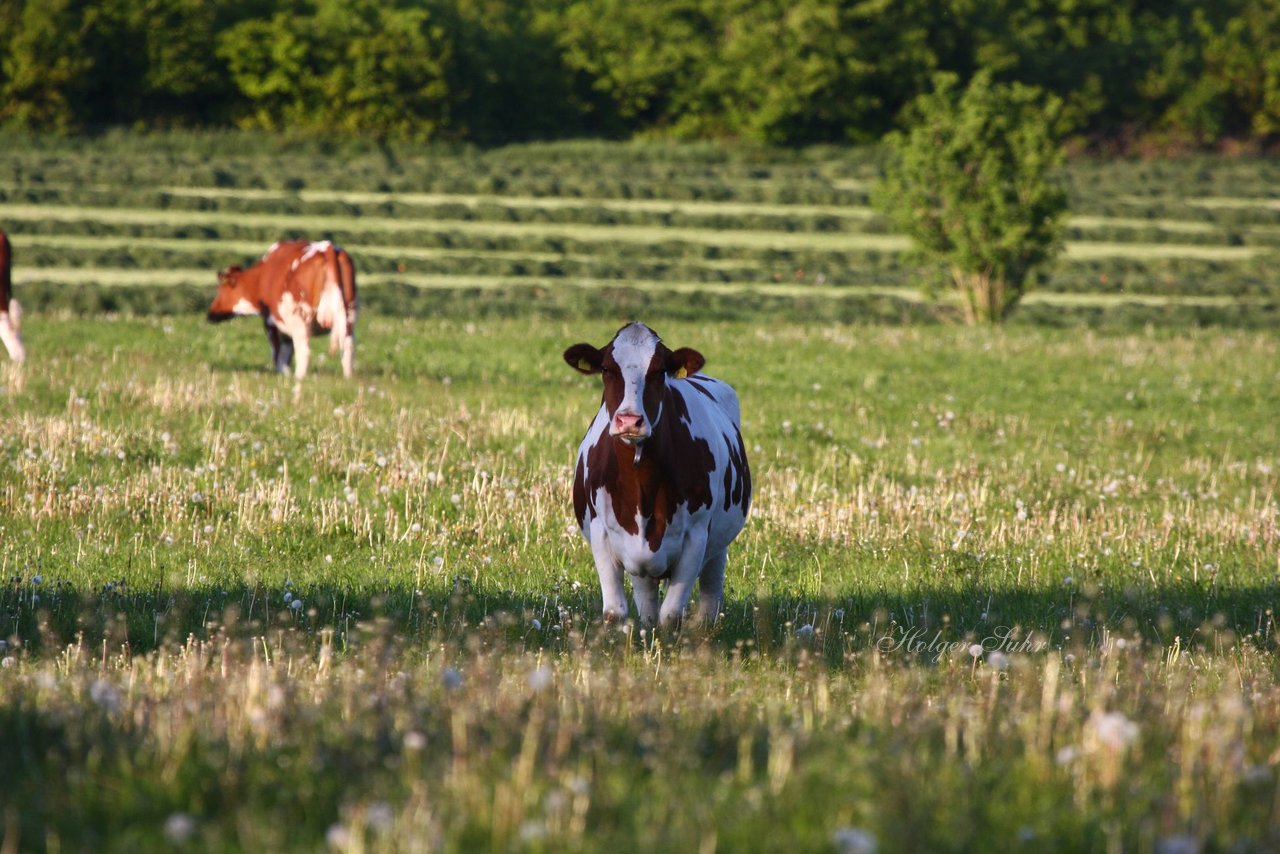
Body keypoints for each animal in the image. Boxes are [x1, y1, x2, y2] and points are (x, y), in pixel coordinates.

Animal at [207, 239, 355, 376]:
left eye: (221, 289)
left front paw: (284, 373)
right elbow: (286, 351)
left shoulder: (270, 321)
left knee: (304, 351)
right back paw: (347, 377)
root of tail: (327, 247)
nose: (210, 314)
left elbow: (277, 352)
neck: (260, 277)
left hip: (301, 318)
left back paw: (299, 377)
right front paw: (285, 372)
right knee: (347, 347)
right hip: (349, 315)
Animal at [568, 320, 752, 627]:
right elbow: (615, 612)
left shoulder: (696, 536)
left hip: (718, 546)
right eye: (606, 368)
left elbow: (671, 615)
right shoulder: (600, 533)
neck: (641, 483)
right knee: (647, 602)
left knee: (709, 596)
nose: (630, 420)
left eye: (659, 370)